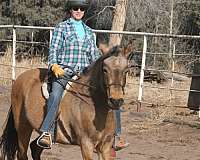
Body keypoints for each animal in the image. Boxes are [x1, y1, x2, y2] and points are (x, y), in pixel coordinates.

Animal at [0, 44, 133, 160]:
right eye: (105, 70)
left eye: (126, 70)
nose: (116, 100)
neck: (94, 106)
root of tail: (20, 78)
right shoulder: (86, 144)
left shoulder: (105, 146)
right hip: (23, 127)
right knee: (22, 153)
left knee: (35, 148)